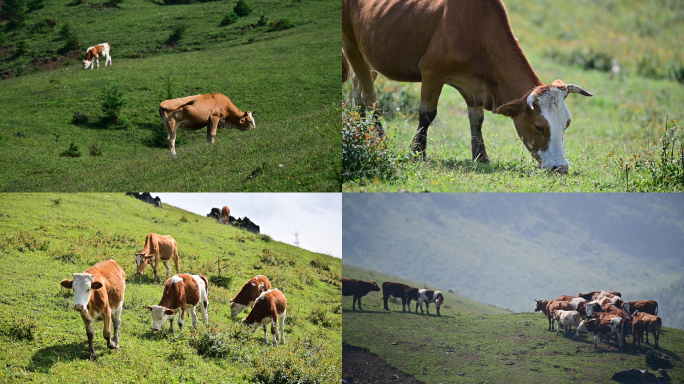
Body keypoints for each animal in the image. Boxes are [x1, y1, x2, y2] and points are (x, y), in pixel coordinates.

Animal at [342, 0, 592, 172]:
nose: (560, 167)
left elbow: (477, 120)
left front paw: (481, 157)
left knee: (358, 91)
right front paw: (417, 153)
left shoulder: (475, 87)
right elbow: (427, 114)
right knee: (369, 96)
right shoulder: (432, 72)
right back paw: (378, 137)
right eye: (539, 126)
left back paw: (361, 129)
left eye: (566, 124)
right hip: (351, 45)